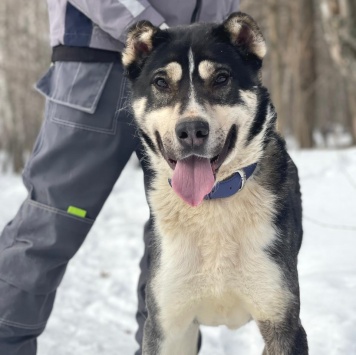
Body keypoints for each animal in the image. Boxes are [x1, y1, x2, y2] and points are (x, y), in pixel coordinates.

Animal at [122, 11, 308, 355]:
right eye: (161, 82)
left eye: (221, 79)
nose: (191, 130)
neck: (212, 202)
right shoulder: (167, 327)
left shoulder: (283, 324)